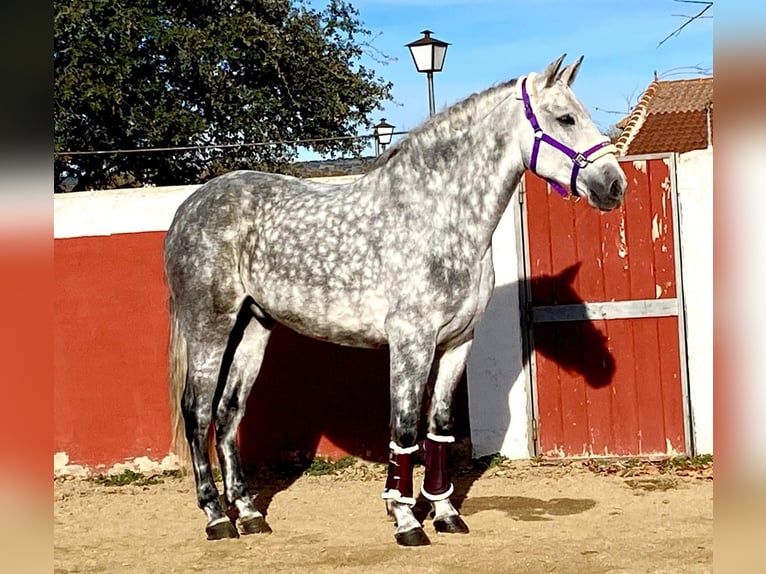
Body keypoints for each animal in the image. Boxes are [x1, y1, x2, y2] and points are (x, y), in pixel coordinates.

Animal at [165, 55, 628, 548]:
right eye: (565, 118)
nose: (614, 186)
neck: (437, 215)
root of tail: (188, 208)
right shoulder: (412, 342)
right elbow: (404, 428)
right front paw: (406, 519)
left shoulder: (457, 344)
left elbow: (439, 430)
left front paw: (445, 514)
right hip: (211, 327)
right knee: (197, 412)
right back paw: (217, 517)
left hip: (253, 327)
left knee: (228, 413)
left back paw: (250, 513)